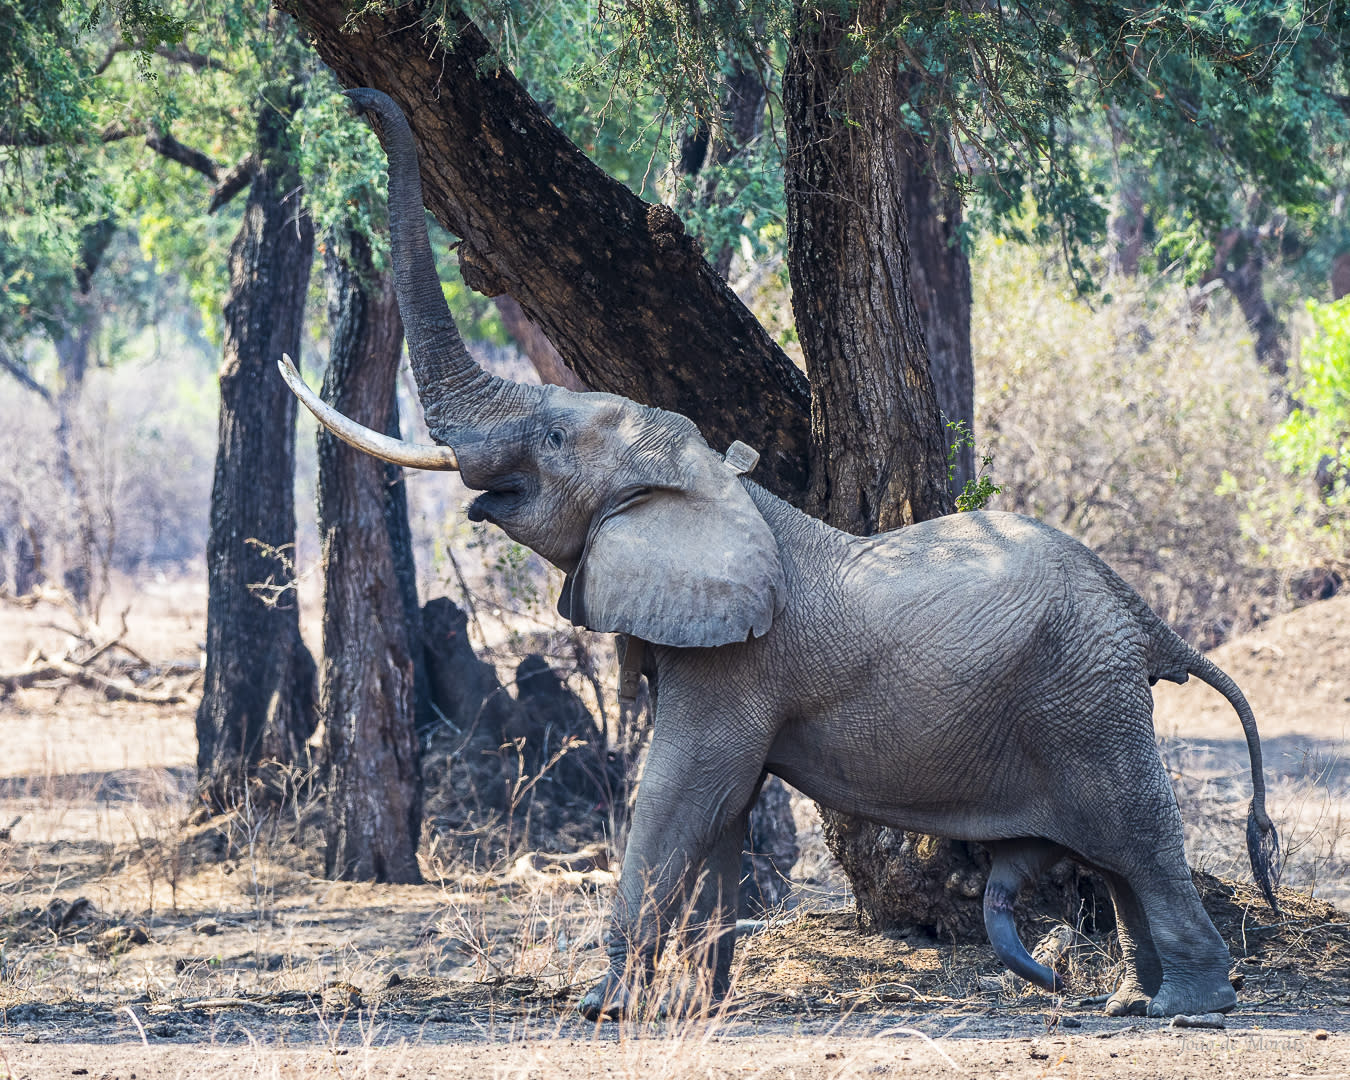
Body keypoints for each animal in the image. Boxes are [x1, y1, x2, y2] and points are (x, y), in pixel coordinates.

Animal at [282, 90, 1274, 1020]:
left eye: (557, 440)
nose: (360, 99)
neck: (710, 482)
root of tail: (1144, 617)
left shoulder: (737, 663)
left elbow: (682, 790)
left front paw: (603, 1009)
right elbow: (718, 808)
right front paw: (691, 1008)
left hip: (1086, 697)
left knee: (1138, 838)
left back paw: (1187, 1009)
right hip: (1088, 693)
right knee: (1118, 860)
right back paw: (1129, 999)